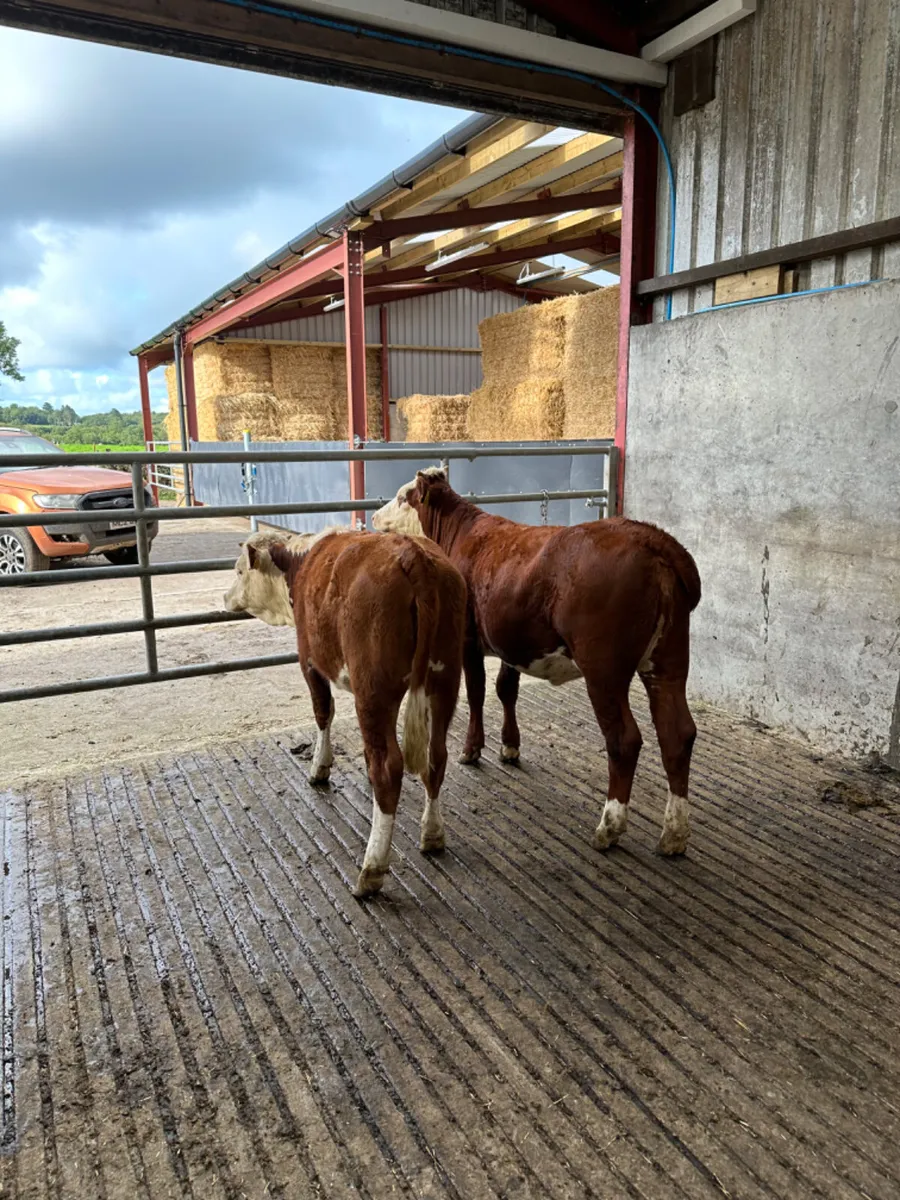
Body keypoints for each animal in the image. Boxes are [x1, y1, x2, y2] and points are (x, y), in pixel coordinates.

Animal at [223, 527, 467, 897]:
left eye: (239, 571)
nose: (225, 597)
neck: (300, 563)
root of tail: (413, 554)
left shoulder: (309, 660)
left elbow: (323, 712)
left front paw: (319, 767)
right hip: (445, 679)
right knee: (435, 755)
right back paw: (433, 833)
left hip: (374, 689)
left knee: (389, 765)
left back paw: (371, 869)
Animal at [372, 468, 701, 857]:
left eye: (402, 496)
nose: (374, 516)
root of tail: (649, 537)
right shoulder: (511, 641)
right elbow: (506, 689)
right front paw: (510, 746)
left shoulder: (468, 638)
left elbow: (478, 692)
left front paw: (472, 749)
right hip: (668, 659)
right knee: (677, 733)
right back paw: (674, 835)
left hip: (604, 670)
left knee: (624, 740)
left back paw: (609, 828)